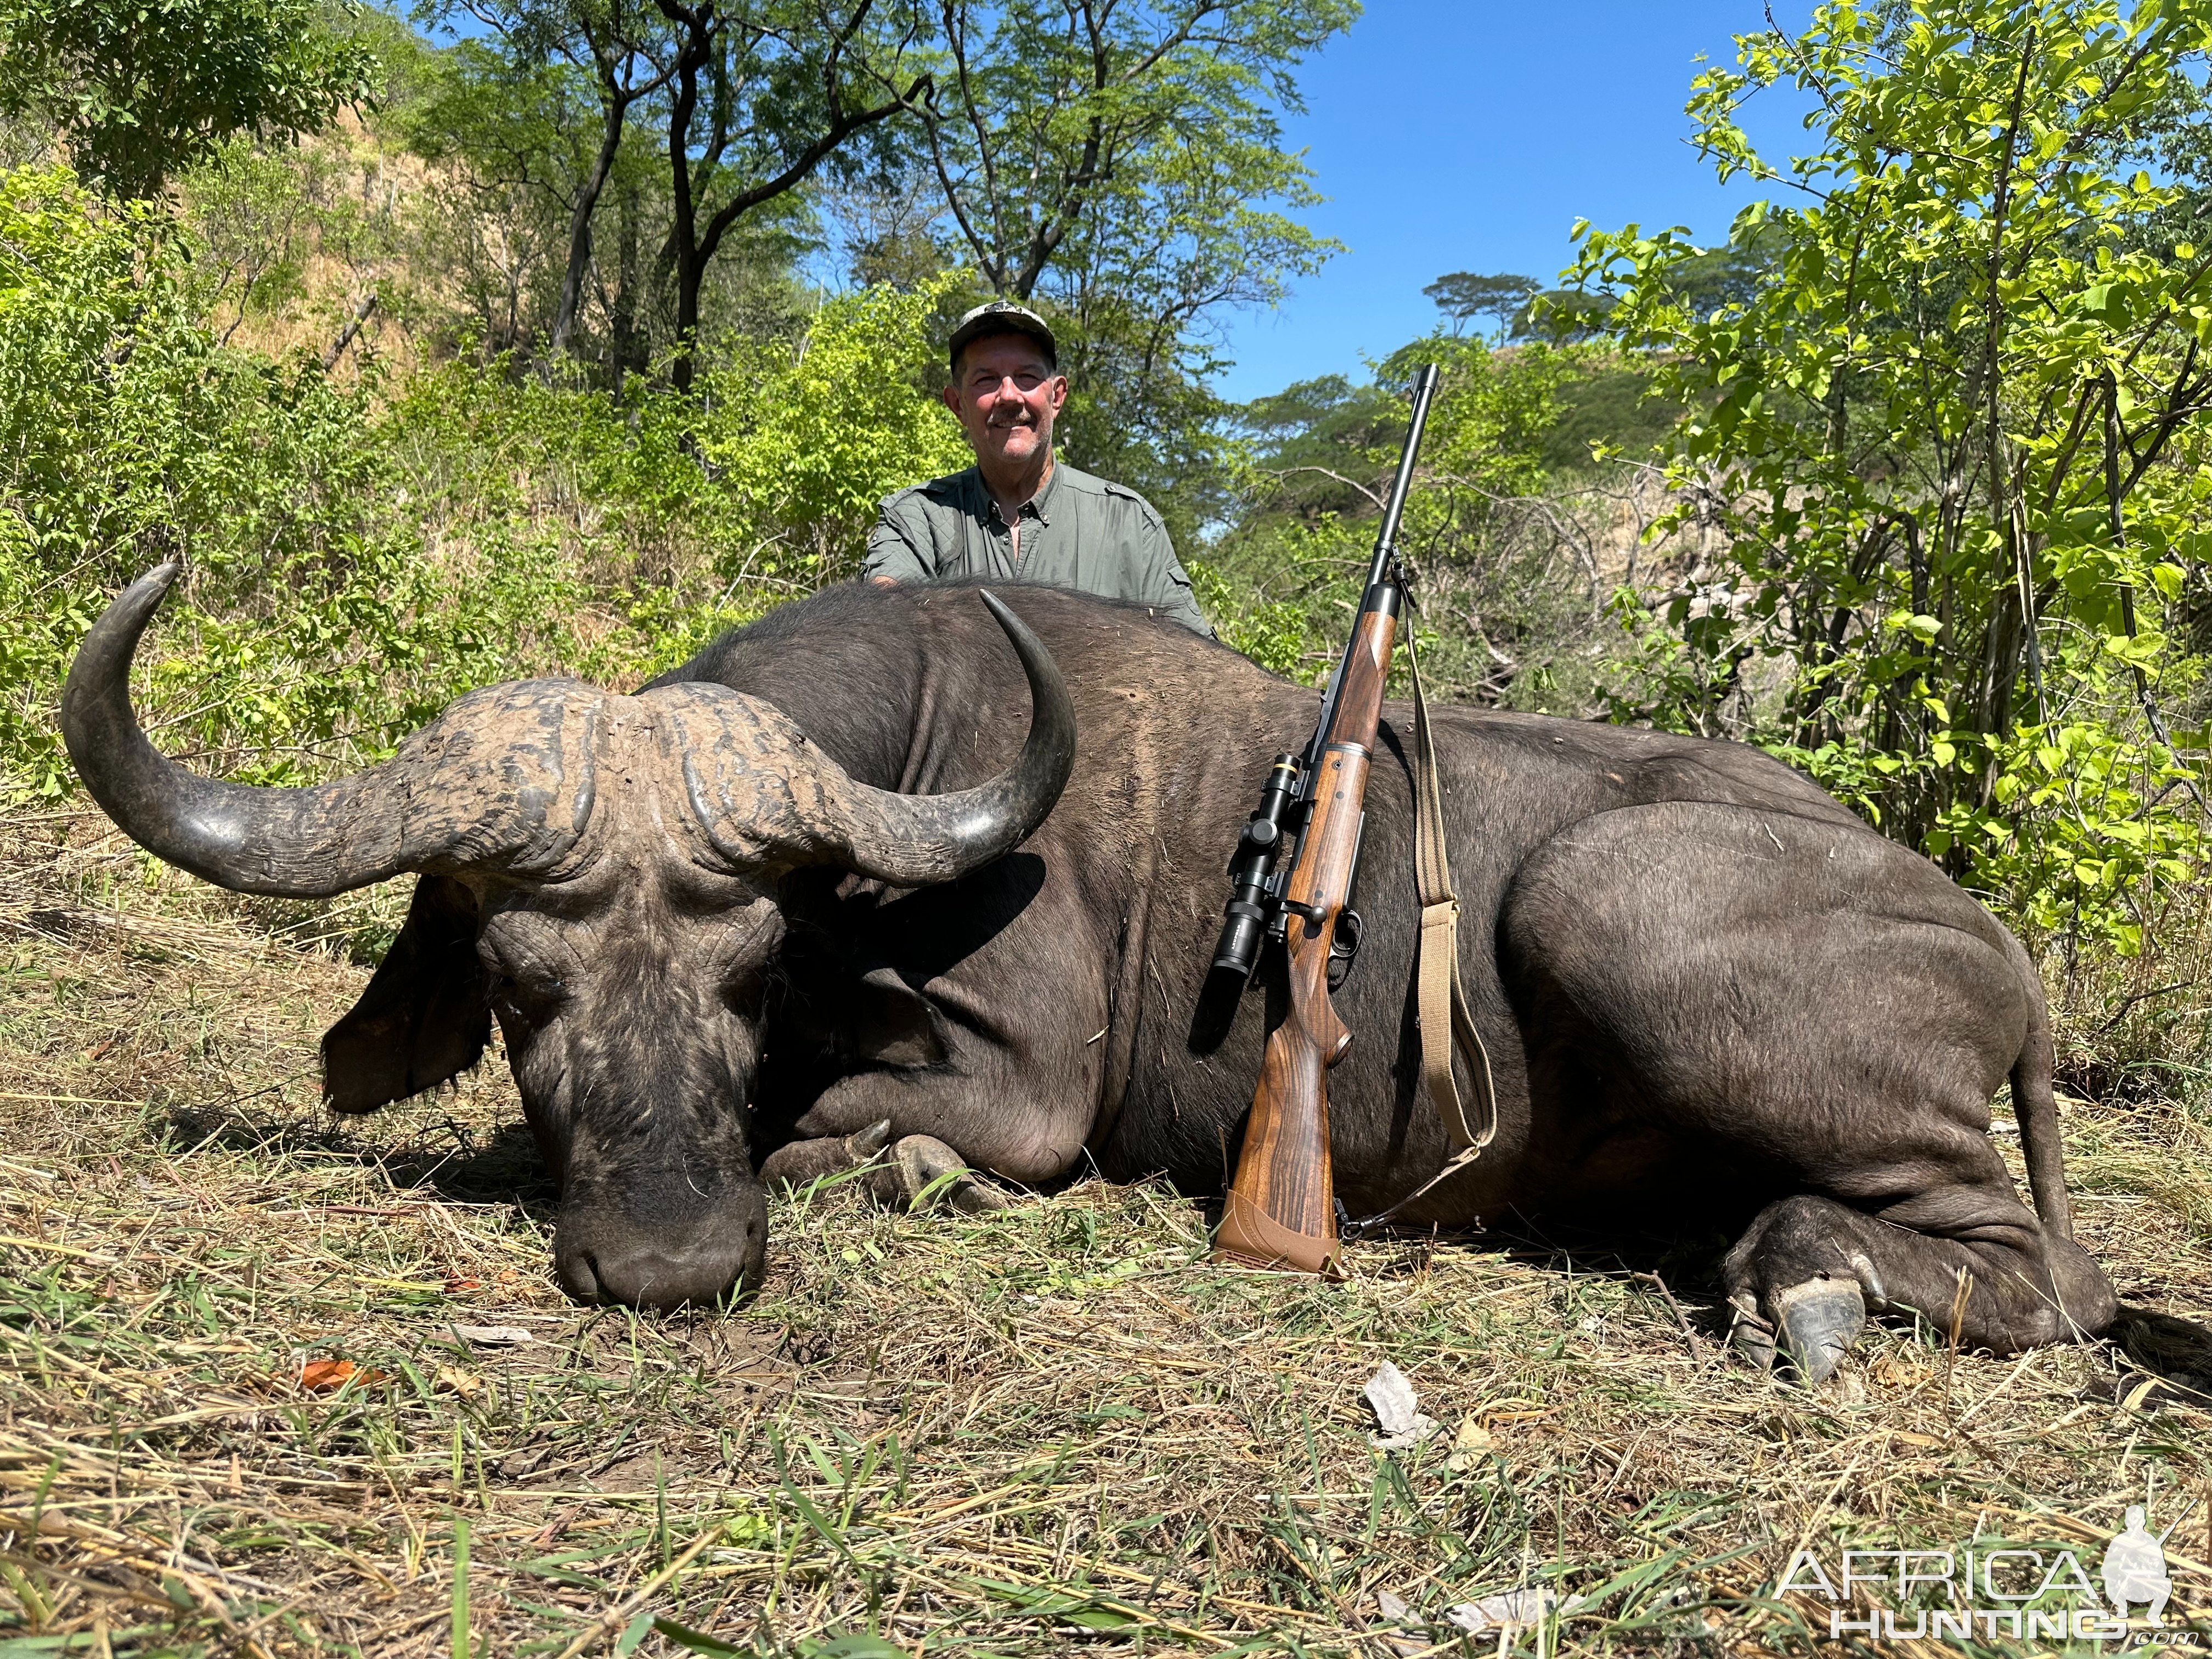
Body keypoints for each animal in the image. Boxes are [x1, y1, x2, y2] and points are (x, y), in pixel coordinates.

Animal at [64, 566, 2194, 1380]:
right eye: (514, 977)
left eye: (750, 961)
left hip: (1614, 901)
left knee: (2053, 1273)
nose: (672, 1257)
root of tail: (1995, 950)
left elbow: (925, 1131)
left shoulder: (1014, 1085)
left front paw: (886, 1165)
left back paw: (1805, 1278)